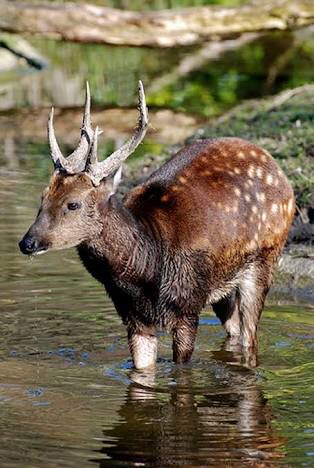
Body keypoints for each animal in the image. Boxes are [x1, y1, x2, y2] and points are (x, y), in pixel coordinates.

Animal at [19, 82, 294, 372]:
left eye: (73, 204)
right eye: (43, 197)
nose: (28, 242)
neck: (147, 269)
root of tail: (277, 168)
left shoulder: (187, 306)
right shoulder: (133, 316)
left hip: (265, 259)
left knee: (250, 336)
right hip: (225, 286)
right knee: (234, 330)